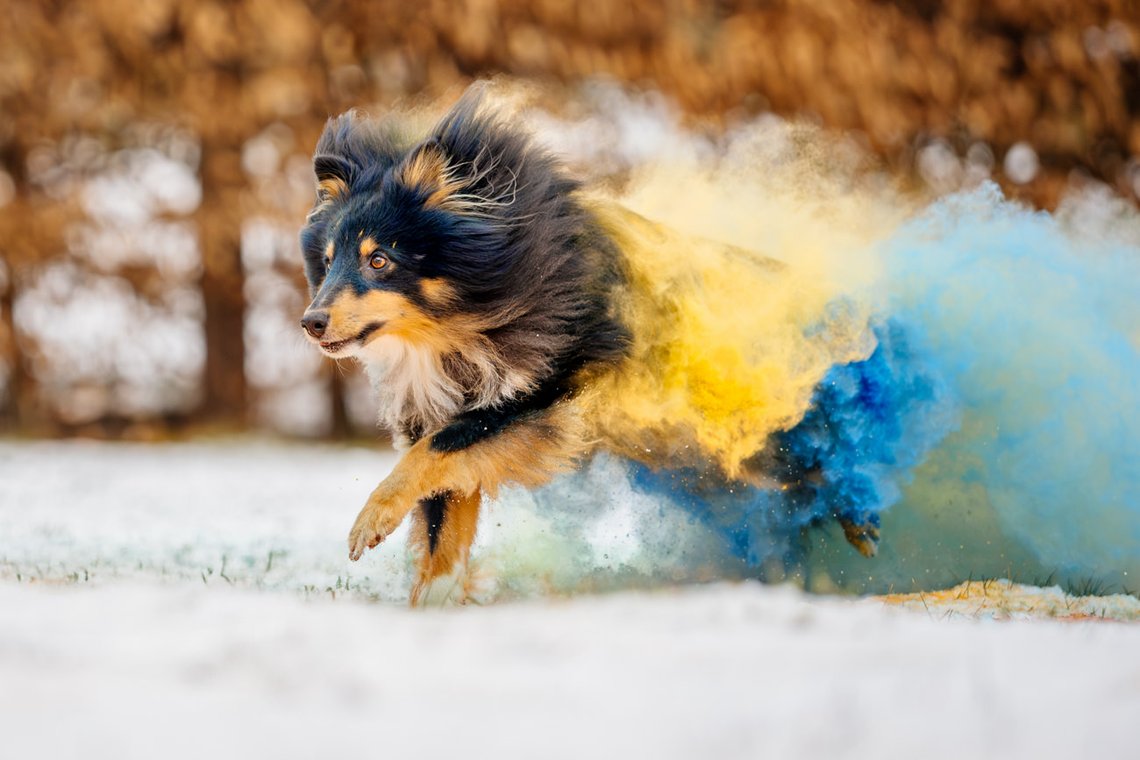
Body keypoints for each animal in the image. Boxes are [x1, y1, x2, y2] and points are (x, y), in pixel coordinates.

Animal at [300, 83, 880, 606]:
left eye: (380, 260)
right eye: (327, 262)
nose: (311, 322)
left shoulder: (549, 386)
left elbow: (441, 448)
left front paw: (368, 523)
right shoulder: (444, 406)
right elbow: (444, 523)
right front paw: (429, 606)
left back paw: (862, 524)